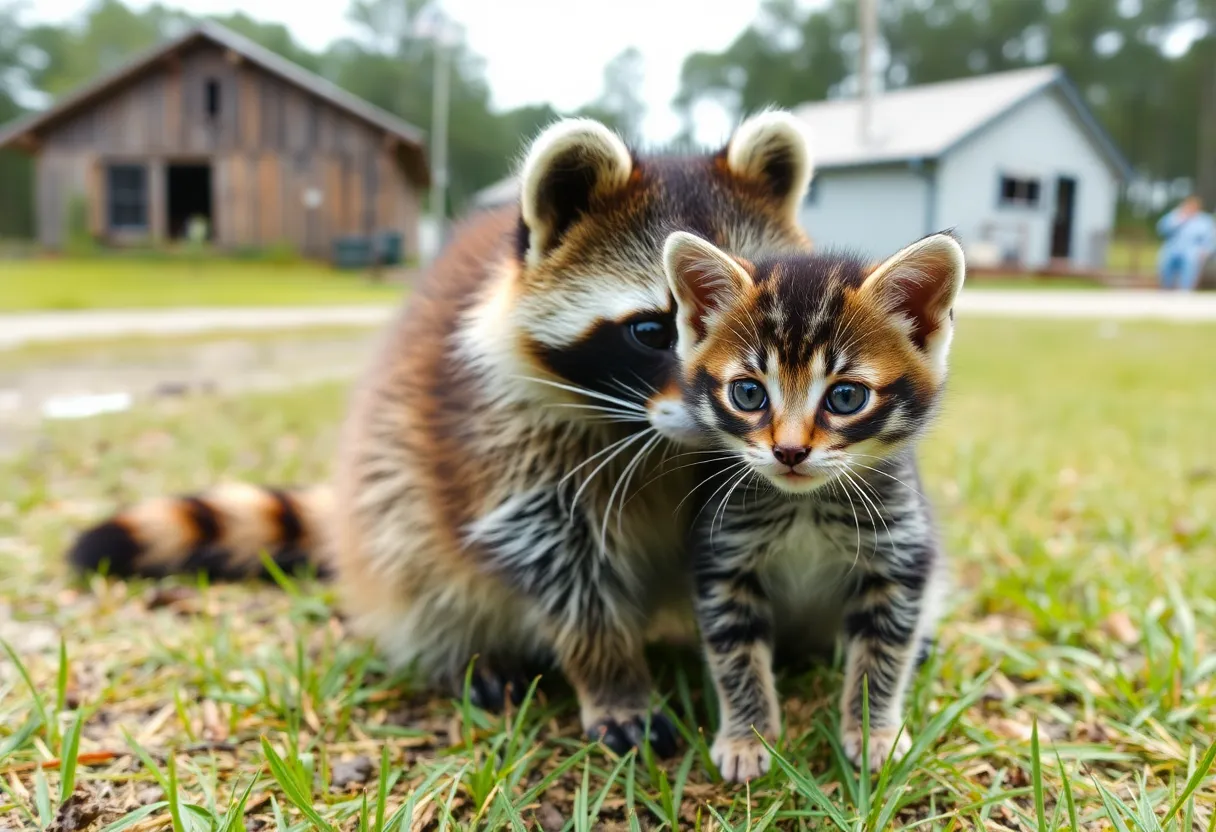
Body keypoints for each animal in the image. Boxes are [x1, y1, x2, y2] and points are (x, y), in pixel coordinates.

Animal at [68, 113, 815, 755]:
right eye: (654, 330)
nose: (731, 409)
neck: (659, 442)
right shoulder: (501, 441)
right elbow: (563, 570)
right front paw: (613, 676)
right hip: (390, 497)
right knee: (412, 548)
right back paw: (465, 654)